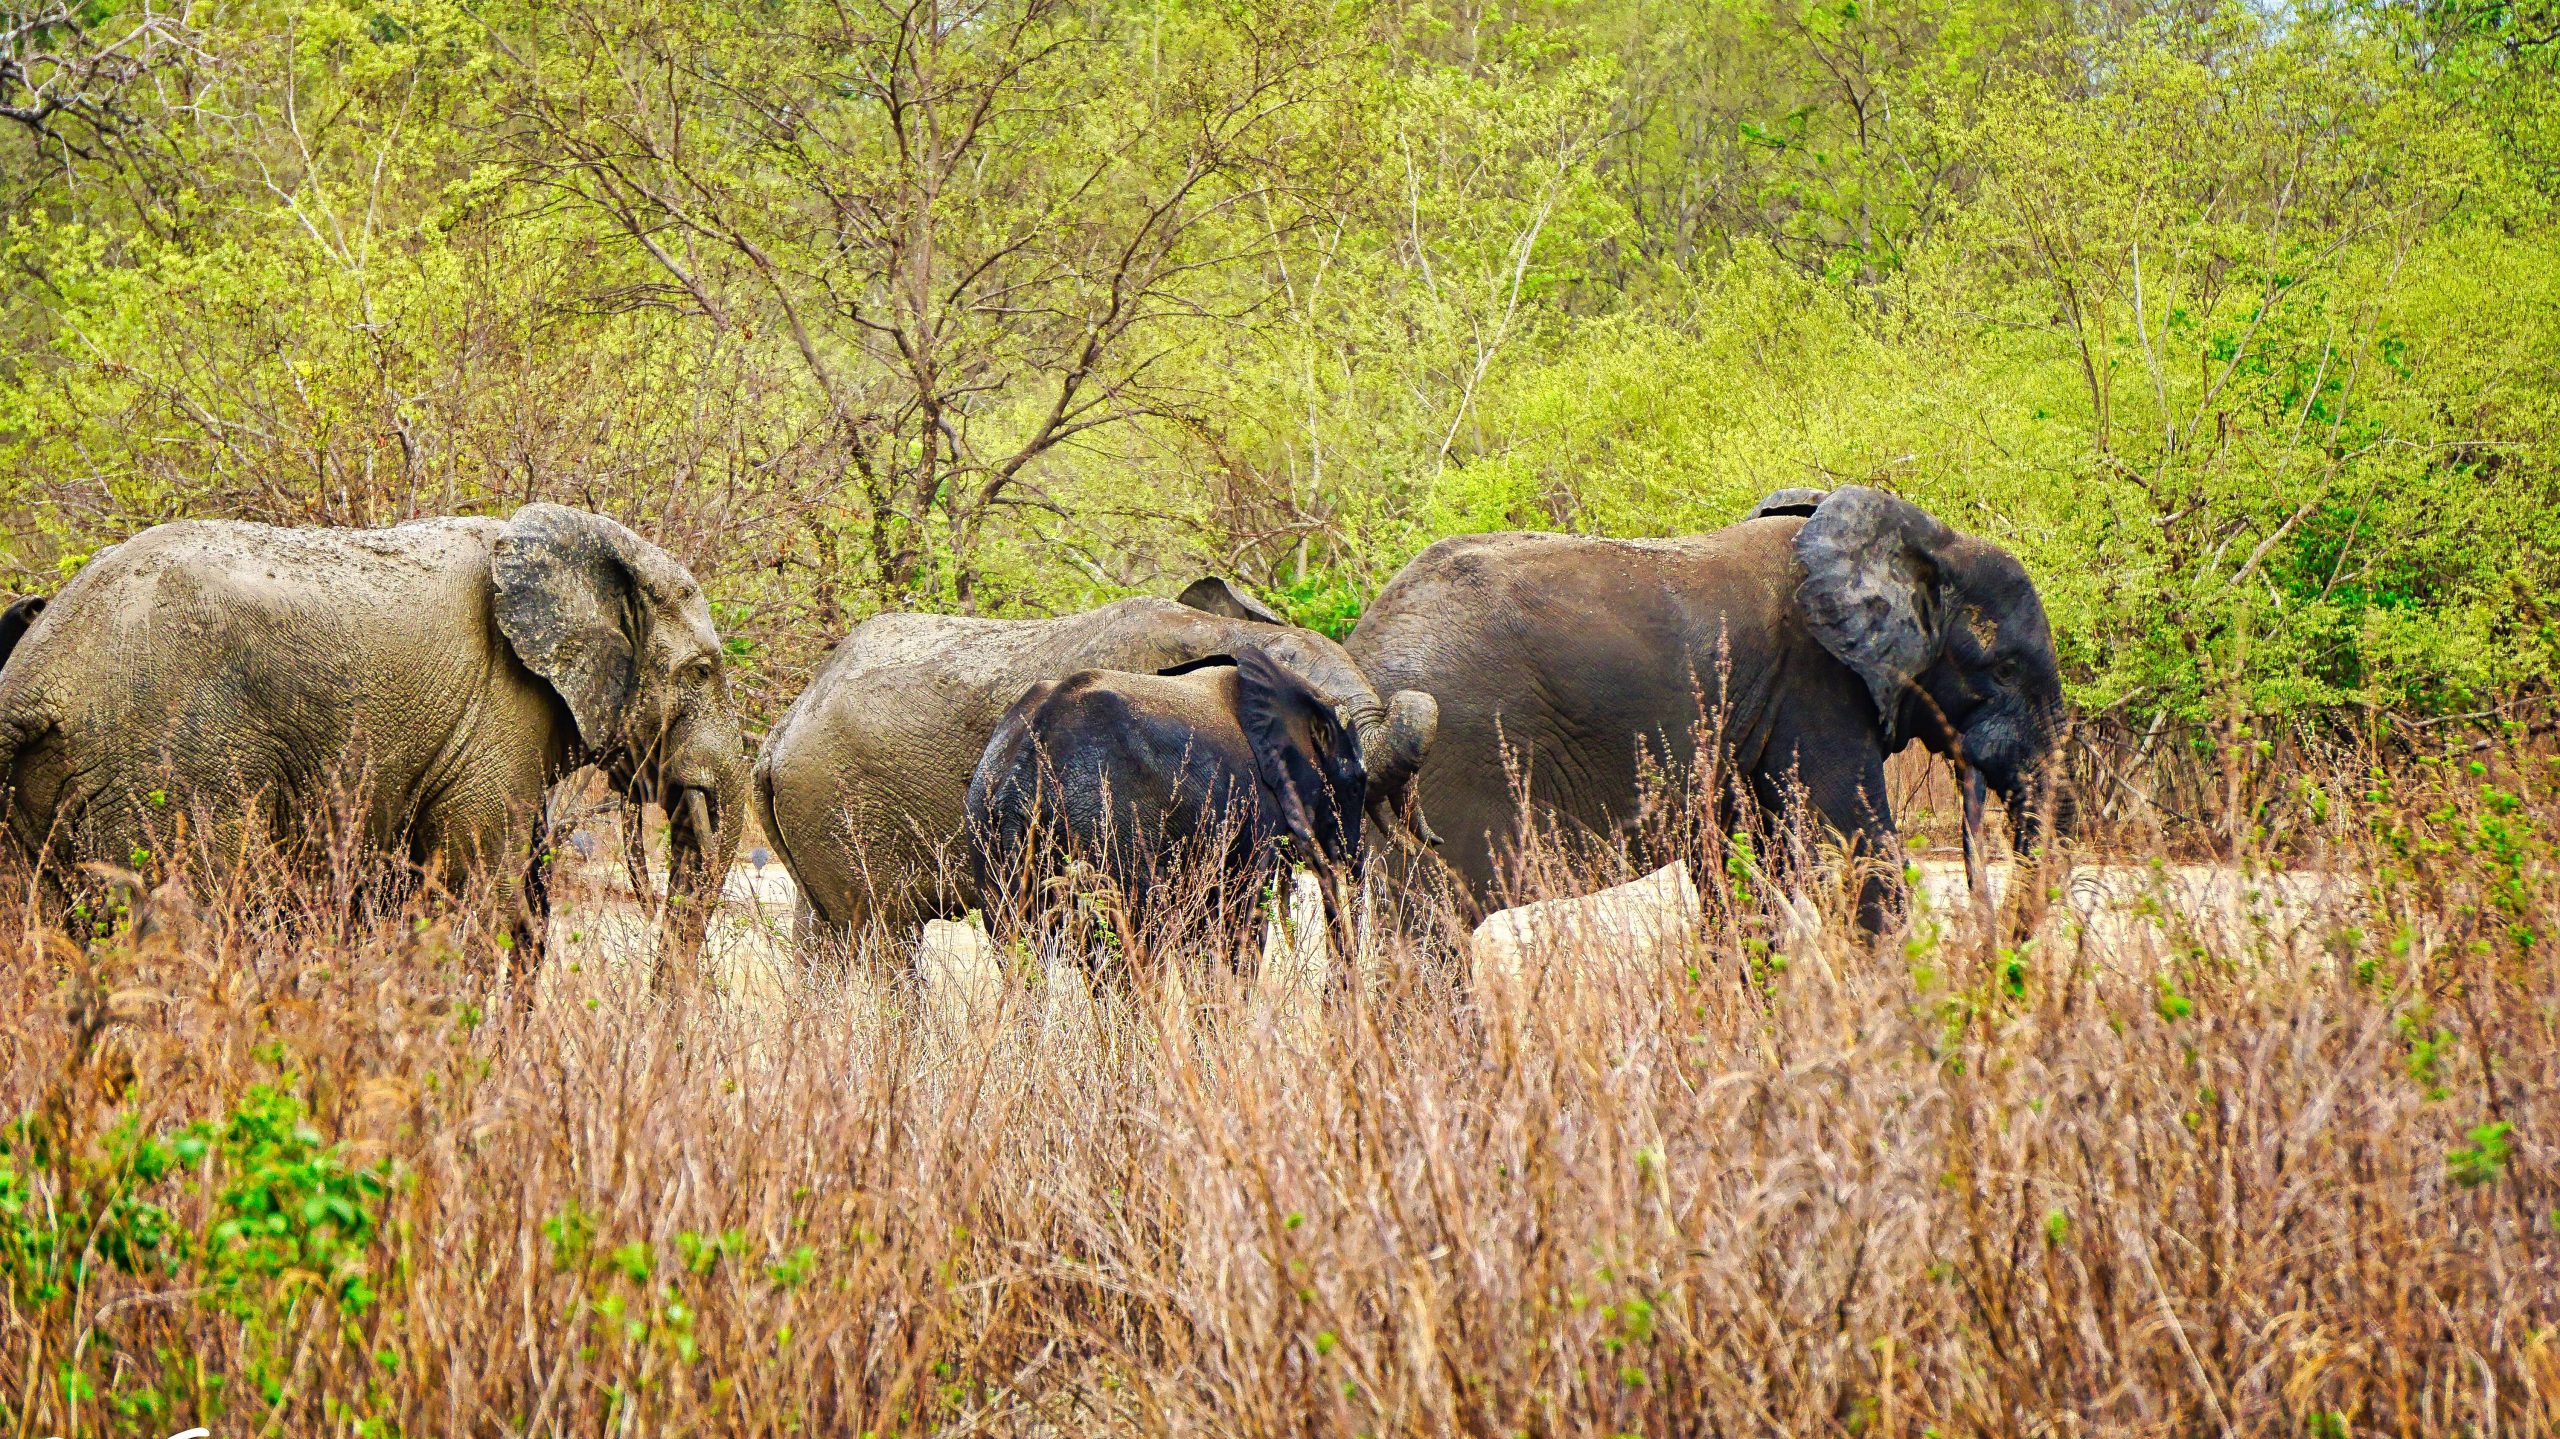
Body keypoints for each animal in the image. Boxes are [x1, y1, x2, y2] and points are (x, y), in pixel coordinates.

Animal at [966, 645, 1366, 952]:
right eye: (1356, 784)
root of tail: (1024, 769)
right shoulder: (1255, 808)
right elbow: (1237, 916)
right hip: (1106, 826)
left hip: (986, 831)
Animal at [1345, 485, 2068, 933]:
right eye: (2005, 669)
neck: (1925, 541)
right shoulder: (1817, 692)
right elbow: (1859, 855)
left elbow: (1740, 878)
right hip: (1438, 776)